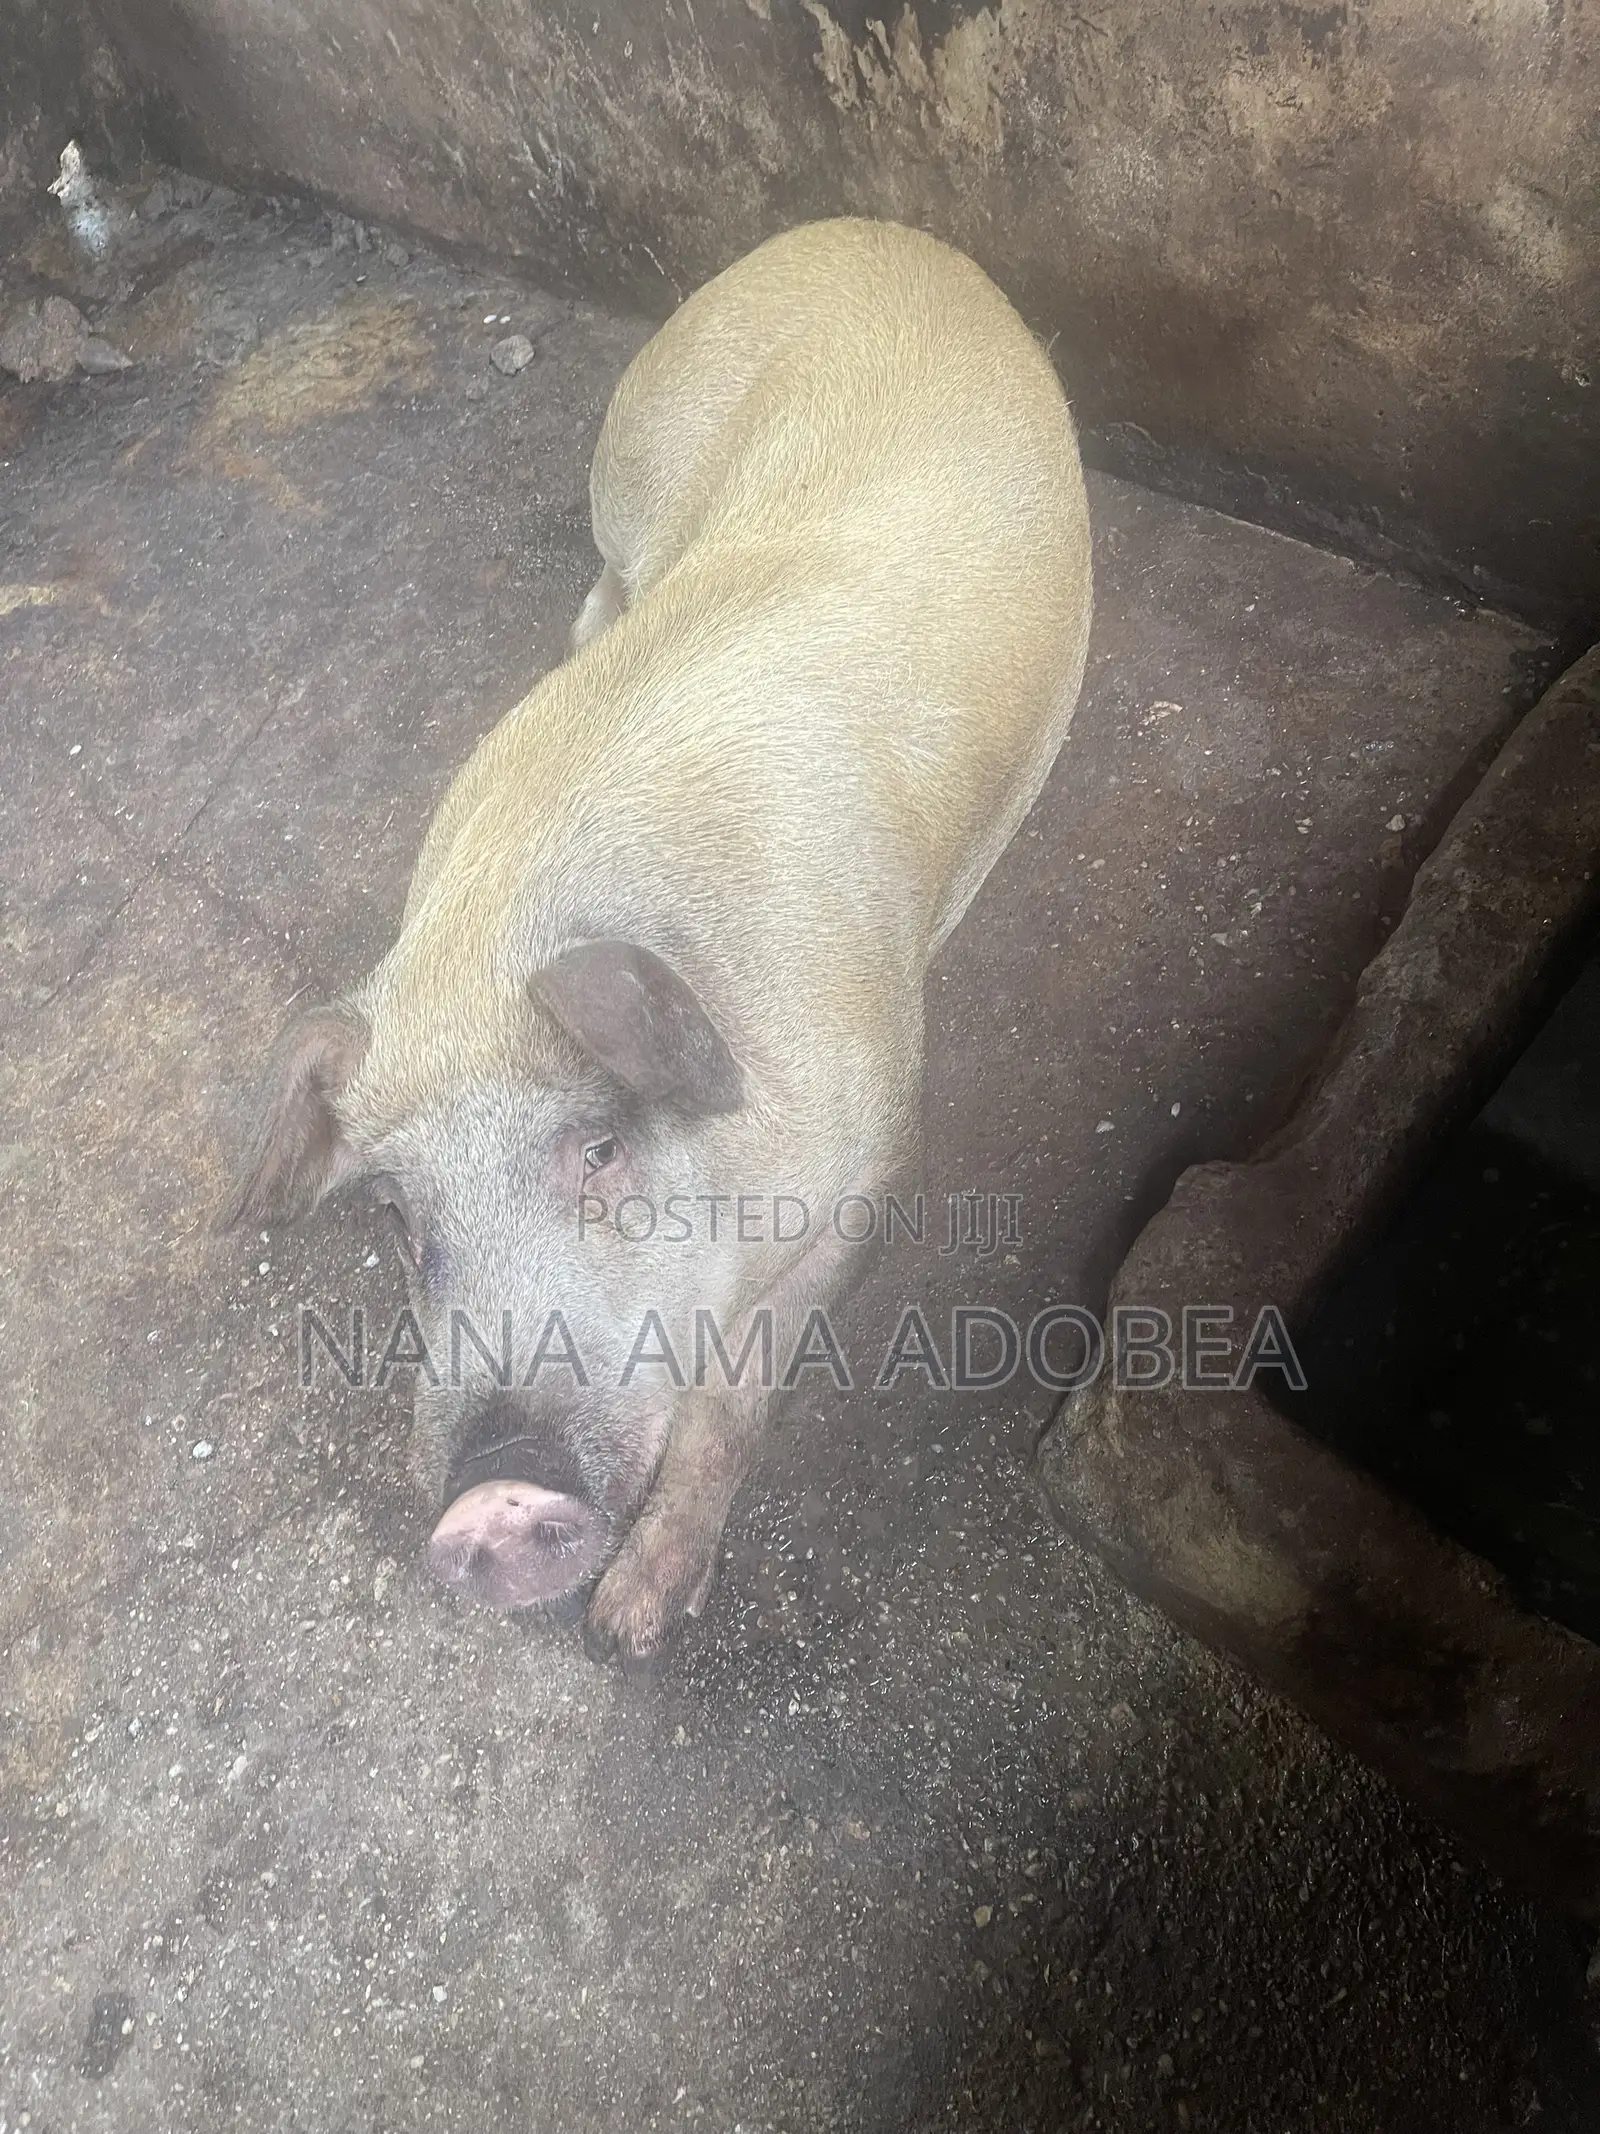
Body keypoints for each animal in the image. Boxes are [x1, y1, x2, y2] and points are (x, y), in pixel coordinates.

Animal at [222, 217, 1092, 1660]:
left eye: (602, 1147)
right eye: (400, 1216)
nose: (491, 1496)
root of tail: (866, 232)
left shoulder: (871, 1152)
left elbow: (739, 1389)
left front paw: (632, 1624)